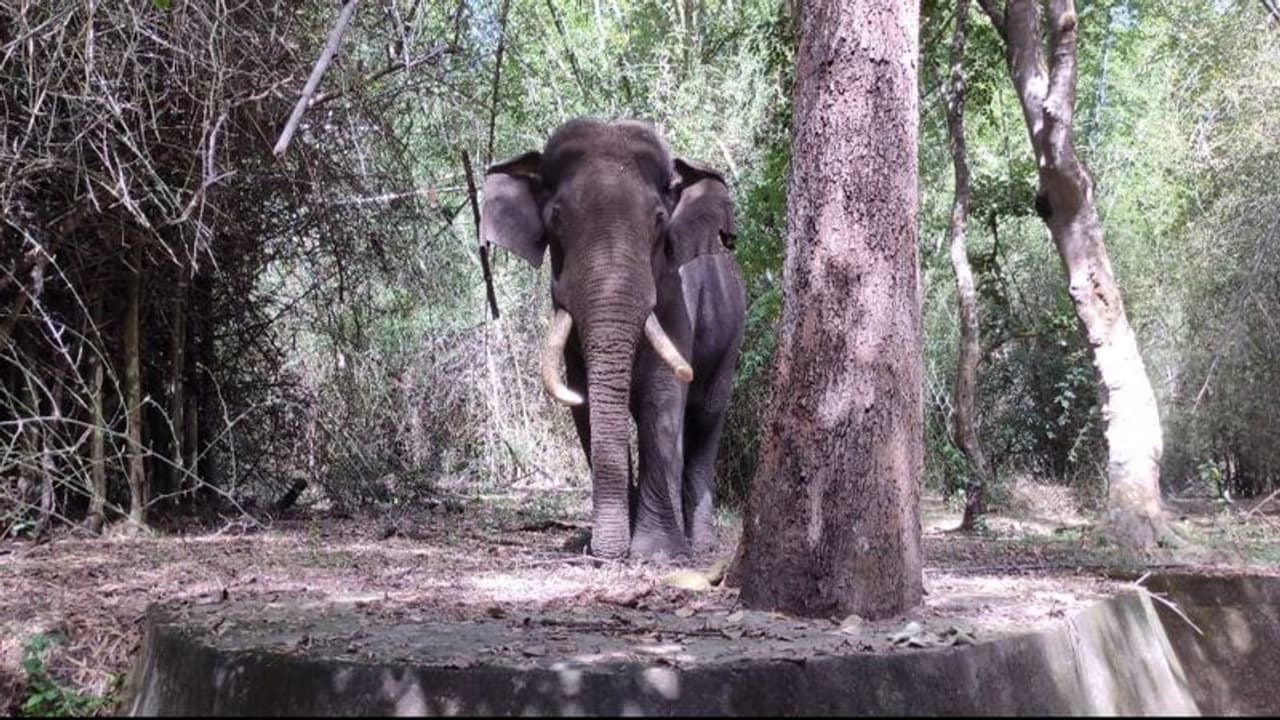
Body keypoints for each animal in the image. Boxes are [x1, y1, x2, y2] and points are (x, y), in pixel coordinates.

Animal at [480, 118, 746, 560]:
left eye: (659, 218)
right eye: (556, 217)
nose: (603, 553)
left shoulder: (675, 299)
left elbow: (661, 397)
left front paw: (656, 553)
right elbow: (585, 402)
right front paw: (606, 547)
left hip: (732, 336)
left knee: (706, 419)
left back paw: (700, 545)